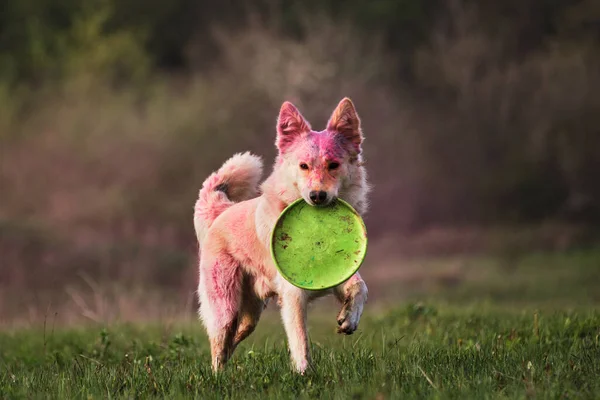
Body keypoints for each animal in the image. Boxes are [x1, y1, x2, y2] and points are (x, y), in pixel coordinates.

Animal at [195, 98, 368, 374]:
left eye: (333, 165)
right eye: (303, 166)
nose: (317, 196)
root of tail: (223, 211)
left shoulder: (340, 271)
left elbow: (360, 287)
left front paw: (349, 318)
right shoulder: (293, 295)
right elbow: (300, 339)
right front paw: (305, 374)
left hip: (251, 315)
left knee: (234, 338)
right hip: (225, 306)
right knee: (219, 345)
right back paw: (218, 376)